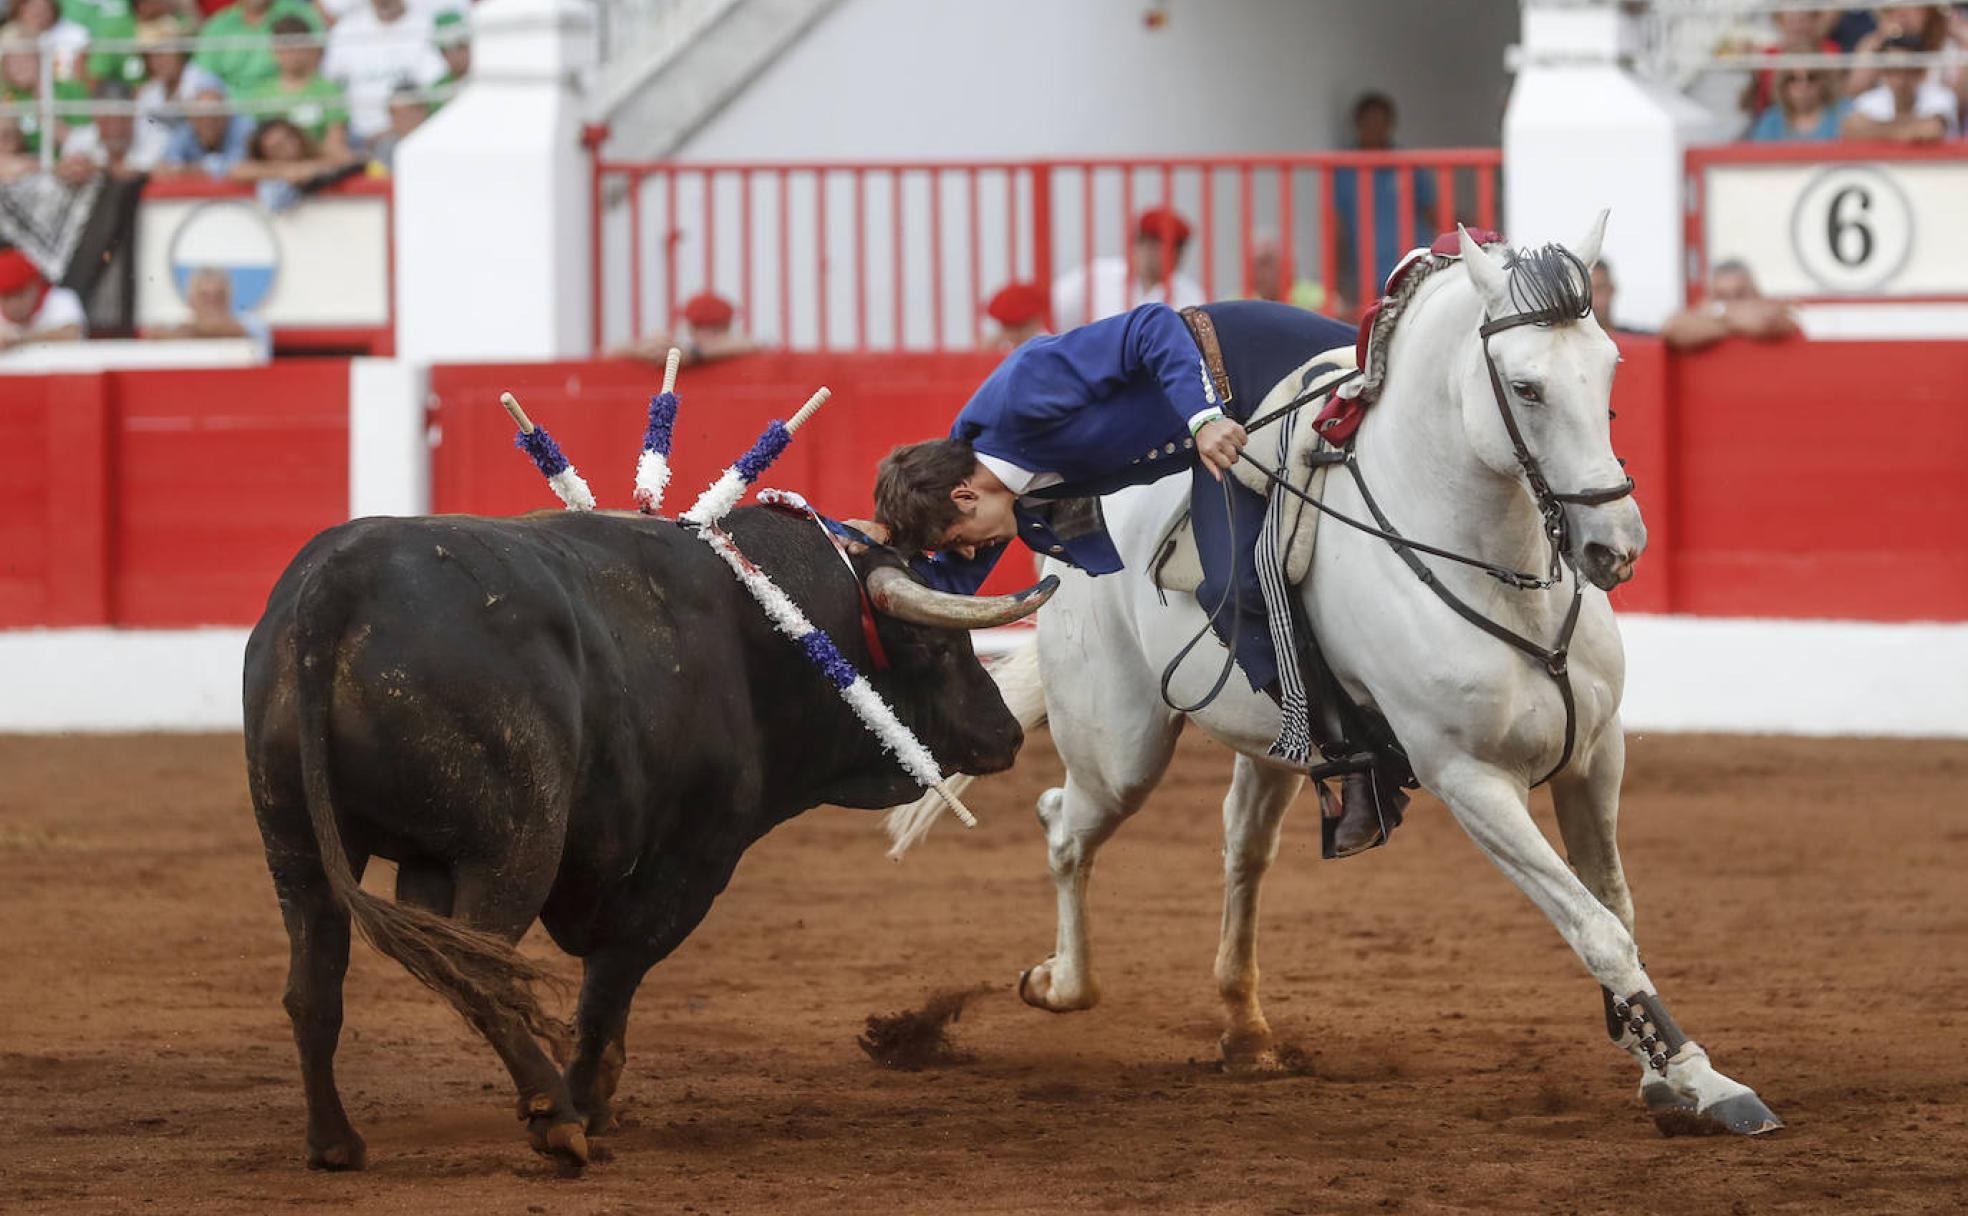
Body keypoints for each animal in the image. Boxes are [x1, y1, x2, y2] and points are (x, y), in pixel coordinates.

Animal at [244, 503, 1046, 1164]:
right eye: (939, 650)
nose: (1006, 731)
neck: (771, 631)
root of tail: (339, 583)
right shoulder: (687, 864)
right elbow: (612, 979)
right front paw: (588, 1102)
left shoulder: (430, 865)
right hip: (515, 846)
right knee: (481, 970)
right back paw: (557, 1122)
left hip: (296, 846)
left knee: (316, 984)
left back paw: (335, 1142)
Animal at [893, 217, 1786, 1133]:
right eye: (1527, 388)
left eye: (1609, 367)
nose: (1617, 545)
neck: (1494, 571)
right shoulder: (1470, 778)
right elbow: (1595, 924)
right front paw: (1706, 1081)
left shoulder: (1597, 755)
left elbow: (1613, 904)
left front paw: (1662, 1069)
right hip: (1121, 749)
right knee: (1064, 824)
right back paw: (1058, 984)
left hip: (1272, 743)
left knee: (1242, 848)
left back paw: (1245, 1033)